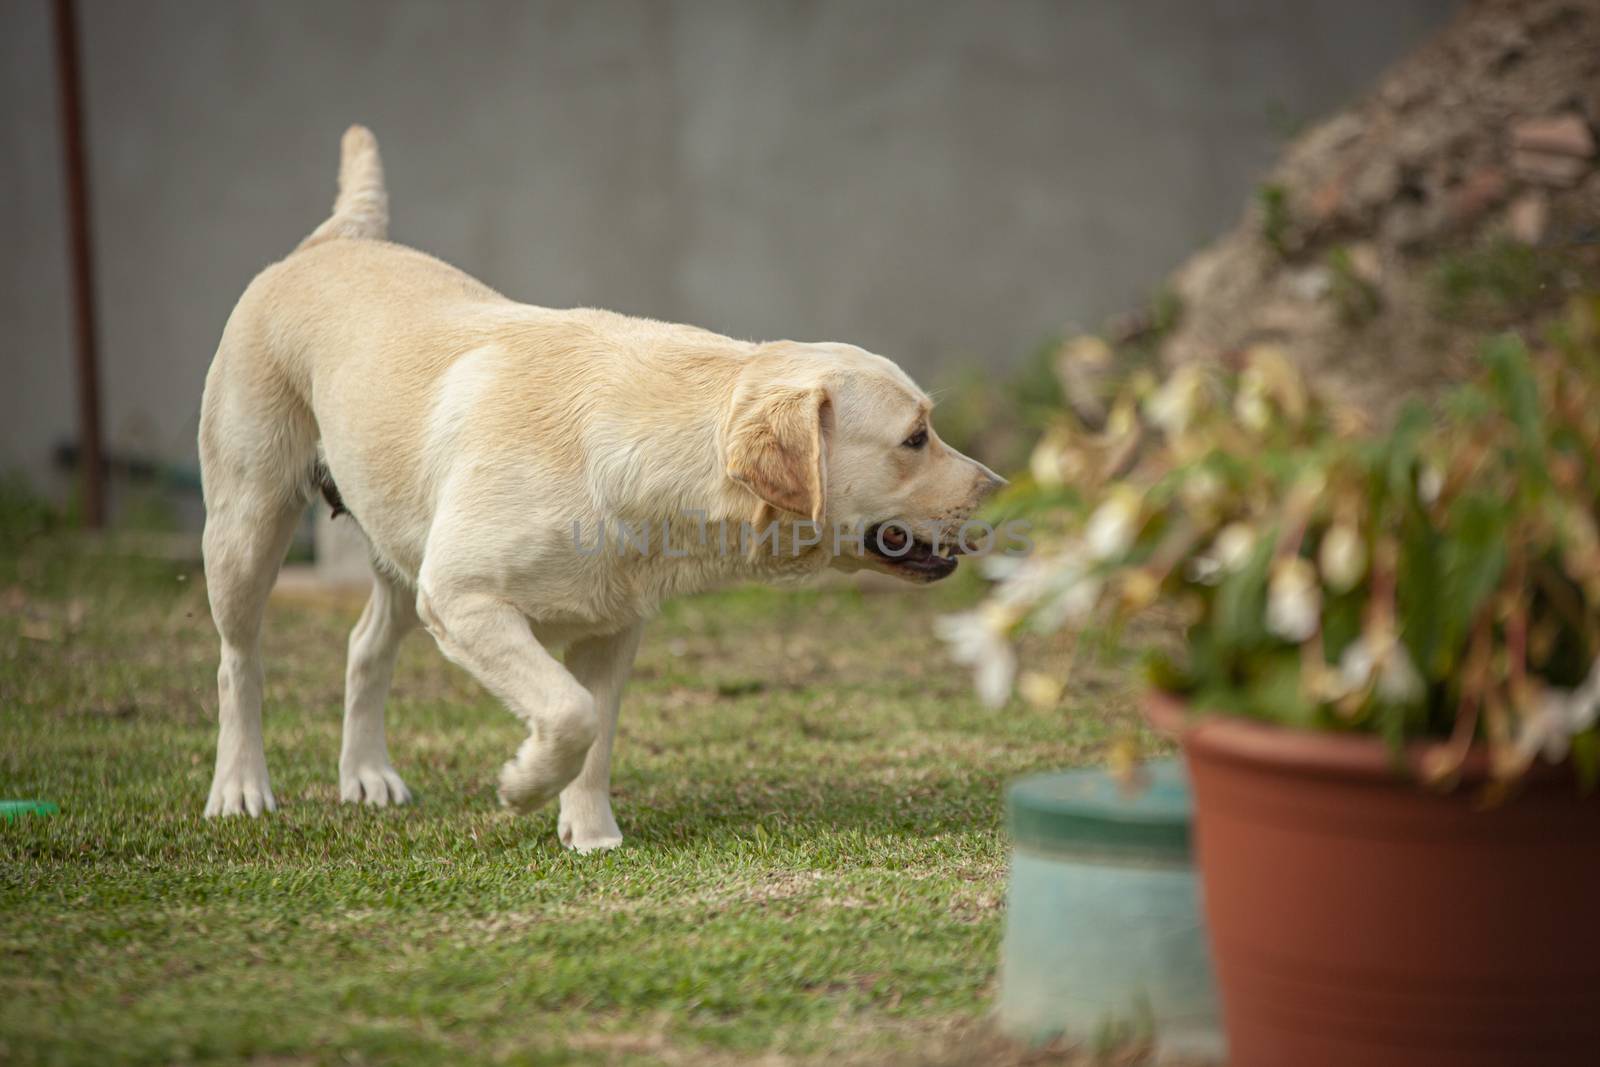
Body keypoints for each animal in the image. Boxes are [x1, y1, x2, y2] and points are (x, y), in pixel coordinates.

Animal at [200, 127, 998, 851]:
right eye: (916, 436)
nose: (995, 484)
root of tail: (328, 242)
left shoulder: (610, 627)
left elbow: (598, 728)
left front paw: (589, 834)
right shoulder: (463, 597)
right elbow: (569, 712)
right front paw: (522, 784)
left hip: (401, 551)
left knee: (365, 646)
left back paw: (366, 774)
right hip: (250, 523)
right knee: (238, 661)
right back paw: (240, 787)